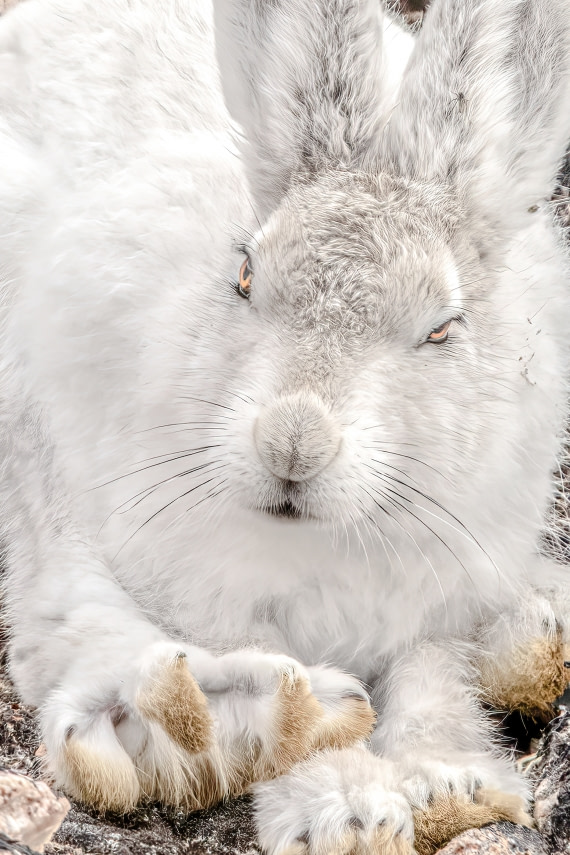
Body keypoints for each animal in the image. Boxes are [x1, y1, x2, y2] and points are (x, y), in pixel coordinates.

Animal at [1, 0, 570, 853]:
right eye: (243, 277)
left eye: (443, 328)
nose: (293, 442)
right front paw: (344, 807)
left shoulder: (448, 587)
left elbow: (431, 671)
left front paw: (448, 786)